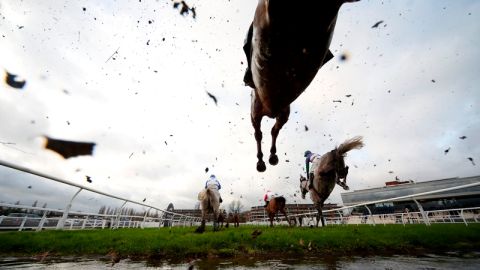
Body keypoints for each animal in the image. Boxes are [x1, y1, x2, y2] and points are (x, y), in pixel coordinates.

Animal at [244, 0, 360, 171]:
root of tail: (270, 111)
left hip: (283, 113)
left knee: (274, 130)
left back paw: (272, 156)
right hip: (256, 113)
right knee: (258, 134)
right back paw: (261, 162)